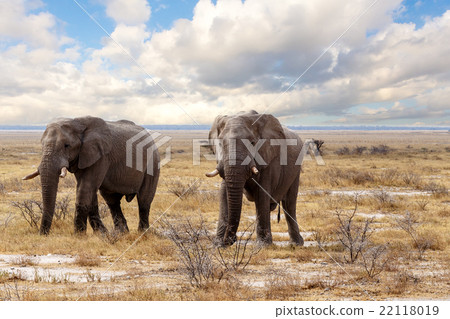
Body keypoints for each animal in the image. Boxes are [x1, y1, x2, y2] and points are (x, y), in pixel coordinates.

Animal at [22, 116, 161, 236]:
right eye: (41, 145)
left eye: (67, 145)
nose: (42, 234)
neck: (77, 123)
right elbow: (88, 191)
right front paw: (101, 234)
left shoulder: (101, 156)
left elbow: (86, 188)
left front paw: (79, 235)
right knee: (112, 201)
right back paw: (121, 233)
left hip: (153, 161)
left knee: (144, 200)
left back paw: (142, 233)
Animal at [206, 111, 304, 249]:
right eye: (220, 143)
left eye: (252, 143)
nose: (232, 239)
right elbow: (224, 194)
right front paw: (218, 245)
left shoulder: (268, 158)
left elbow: (262, 194)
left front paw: (262, 246)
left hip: (296, 169)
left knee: (289, 204)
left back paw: (296, 244)